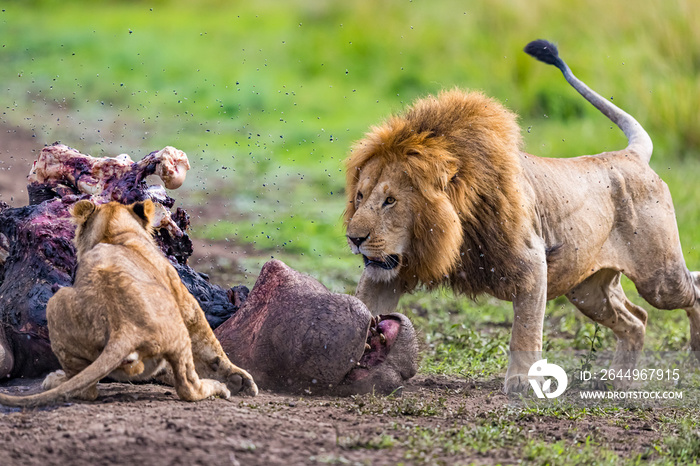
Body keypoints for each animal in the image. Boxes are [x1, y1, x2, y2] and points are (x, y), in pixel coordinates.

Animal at [0, 198, 258, 406]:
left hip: (58, 302)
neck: (114, 234)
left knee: (87, 387)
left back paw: (57, 380)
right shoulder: (184, 298)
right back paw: (219, 388)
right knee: (188, 386)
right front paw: (239, 378)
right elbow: (209, 341)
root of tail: (124, 328)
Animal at [344, 39, 700, 394]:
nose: (354, 238)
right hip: (588, 290)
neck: (451, 228)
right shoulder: (387, 274)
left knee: (691, 290)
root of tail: (630, 154)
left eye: (390, 201)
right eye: (360, 196)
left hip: (660, 279)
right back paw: (619, 381)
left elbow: (525, 330)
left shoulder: (532, 262)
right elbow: (365, 306)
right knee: (636, 319)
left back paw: (694, 354)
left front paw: (522, 381)